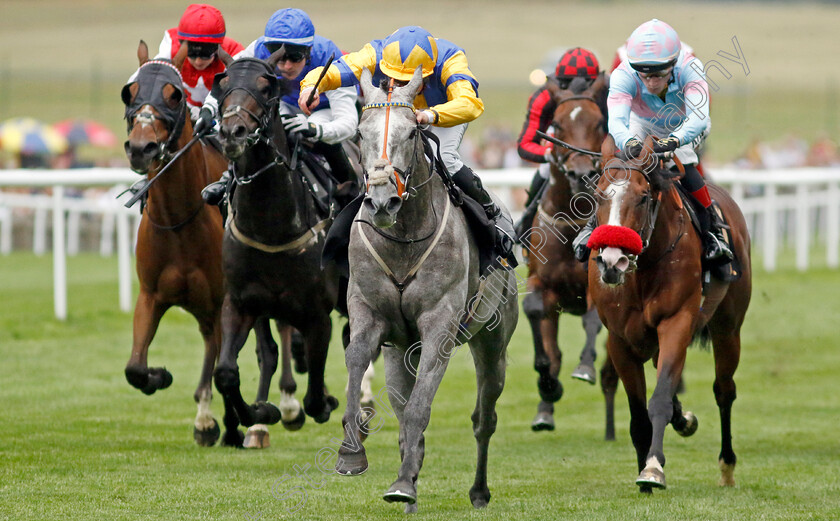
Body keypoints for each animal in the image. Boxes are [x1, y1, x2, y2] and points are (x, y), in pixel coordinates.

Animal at [121, 40, 284, 446]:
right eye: (130, 91)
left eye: (173, 95)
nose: (142, 148)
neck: (178, 221)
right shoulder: (151, 296)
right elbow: (135, 367)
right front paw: (161, 377)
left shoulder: (225, 299)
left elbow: (230, 365)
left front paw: (236, 422)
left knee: (270, 350)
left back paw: (262, 420)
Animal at [334, 66, 520, 512]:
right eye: (360, 134)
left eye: (411, 134)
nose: (382, 202)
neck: (403, 238)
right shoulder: (369, 316)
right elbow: (357, 366)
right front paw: (352, 453)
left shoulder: (439, 325)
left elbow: (420, 408)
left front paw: (403, 483)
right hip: (401, 352)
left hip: (493, 342)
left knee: (484, 419)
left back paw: (477, 491)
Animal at [520, 73, 620, 436]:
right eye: (558, 125)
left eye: (600, 122)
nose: (581, 174)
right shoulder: (542, 284)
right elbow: (541, 330)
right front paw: (548, 389)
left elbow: (593, 320)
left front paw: (584, 366)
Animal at [588, 135, 752, 492]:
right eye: (599, 194)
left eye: (642, 196)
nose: (612, 262)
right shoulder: (620, 340)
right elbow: (638, 414)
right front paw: (643, 473)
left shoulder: (676, 322)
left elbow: (659, 398)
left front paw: (652, 468)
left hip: (728, 328)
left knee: (724, 390)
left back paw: (727, 466)